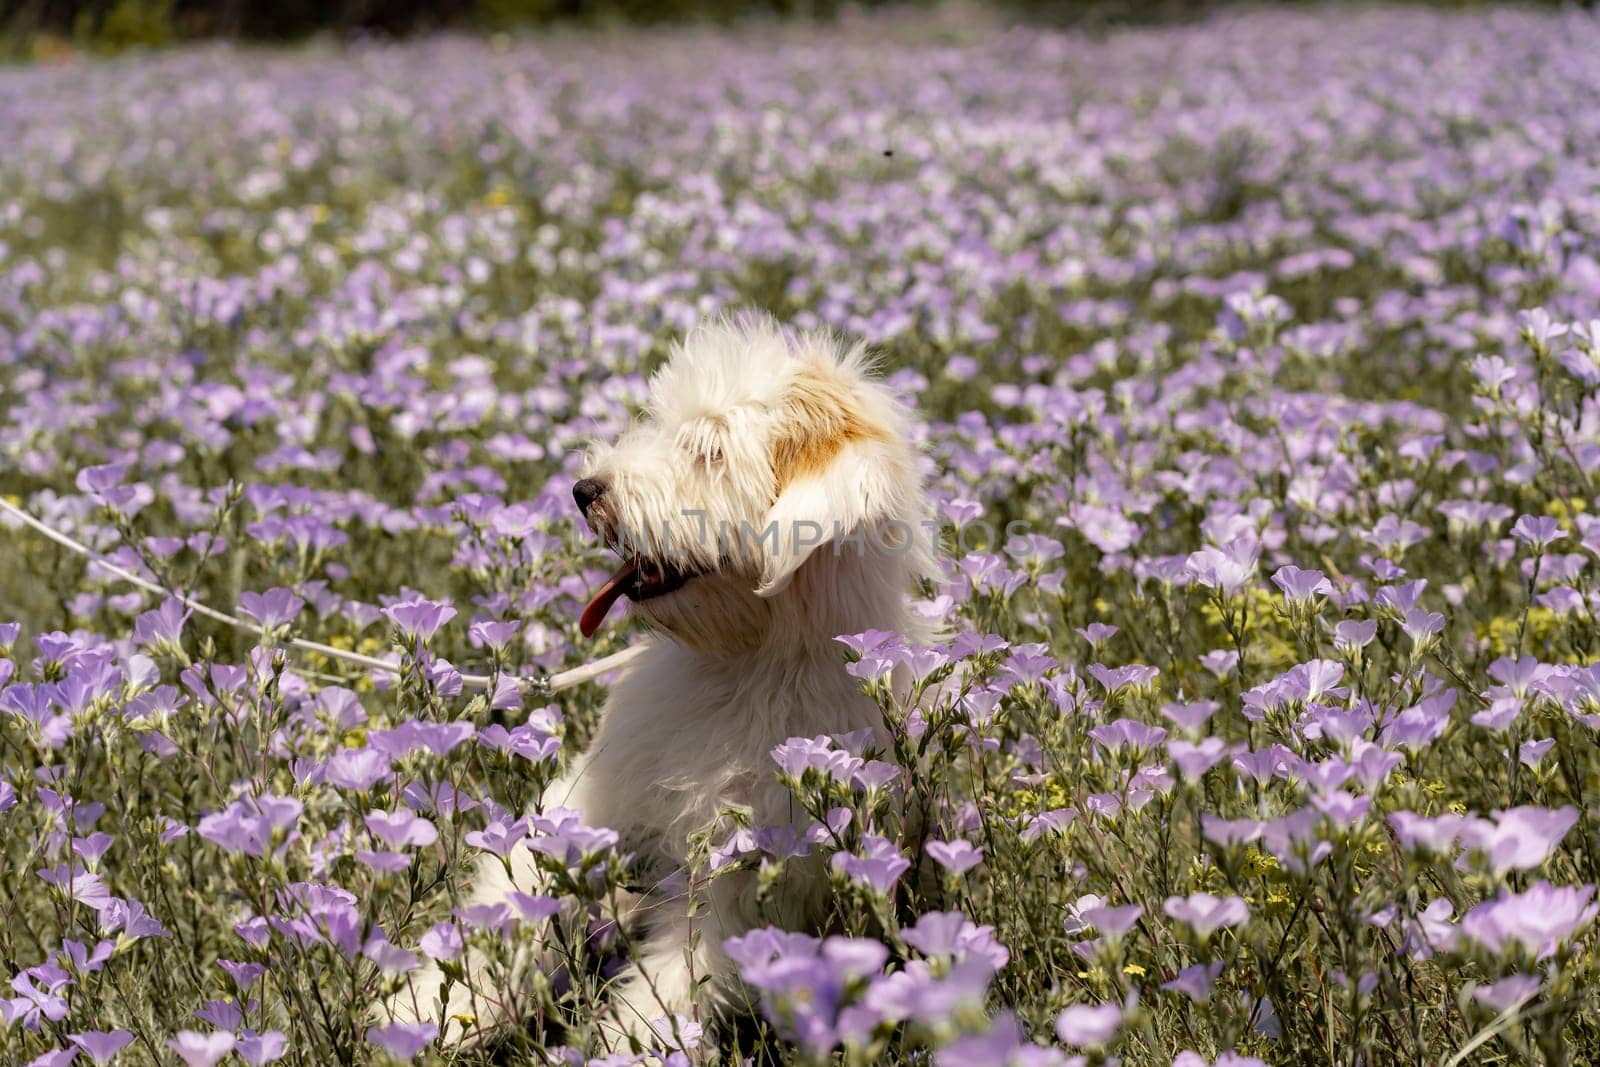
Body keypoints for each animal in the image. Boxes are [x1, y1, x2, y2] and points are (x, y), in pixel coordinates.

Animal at [390, 315, 934, 1049]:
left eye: (707, 449)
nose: (586, 490)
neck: (746, 663)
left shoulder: (746, 873)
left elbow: (676, 980)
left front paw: (629, 1049)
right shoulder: (597, 799)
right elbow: (518, 893)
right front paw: (420, 1015)